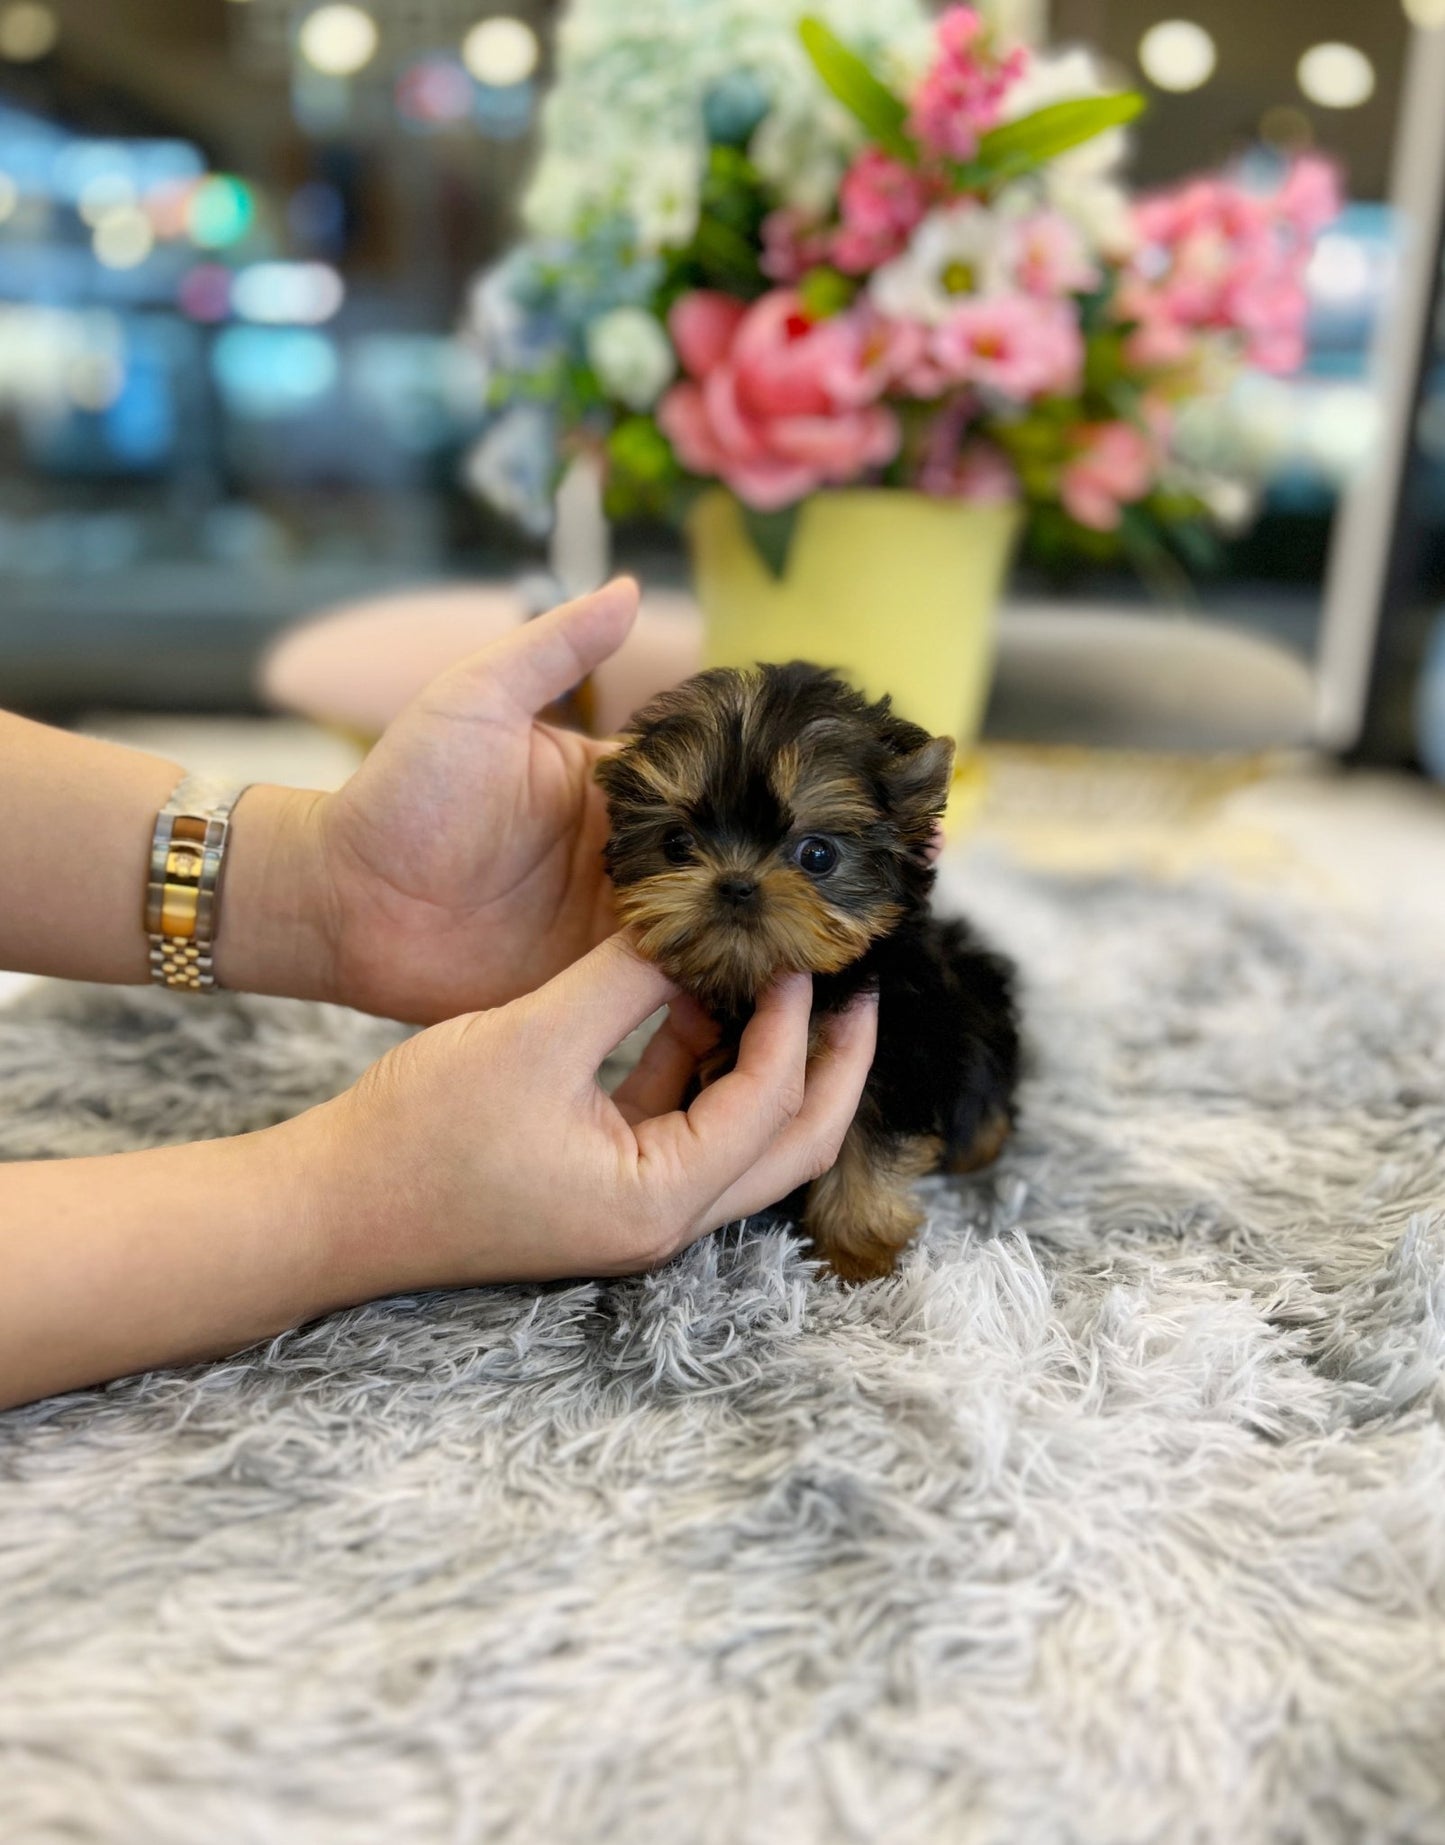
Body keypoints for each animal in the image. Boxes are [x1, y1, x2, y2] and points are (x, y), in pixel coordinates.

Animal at [594, 664, 1026, 1284]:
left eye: (818, 855)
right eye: (676, 844)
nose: (736, 884)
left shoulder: (895, 1054)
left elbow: (867, 1145)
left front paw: (857, 1251)